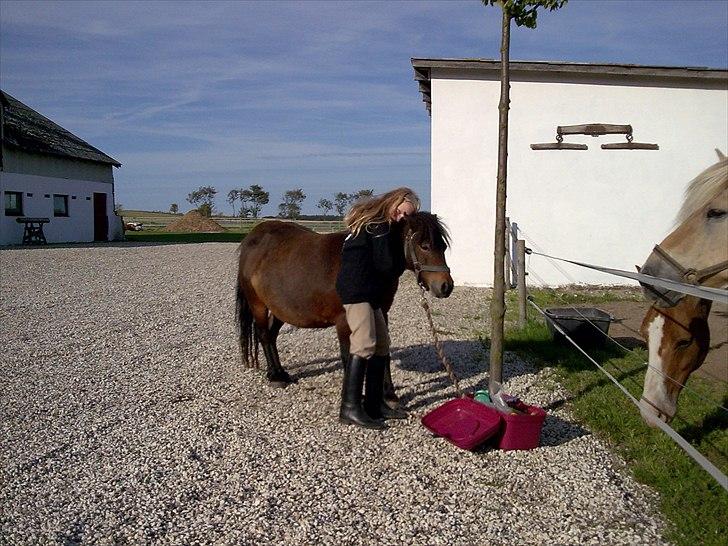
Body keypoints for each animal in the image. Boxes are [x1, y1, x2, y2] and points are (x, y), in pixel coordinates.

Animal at [235, 212, 454, 397]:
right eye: (424, 245)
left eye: (443, 246)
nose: (446, 286)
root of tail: (253, 237)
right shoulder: (344, 322)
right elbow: (349, 357)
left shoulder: (381, 312)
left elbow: (383, 353)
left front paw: (389, 396)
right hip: (258, 305)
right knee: (264, 335)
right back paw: (275, 376)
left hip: (280, 309)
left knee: (271, 336)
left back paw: (280, 372)